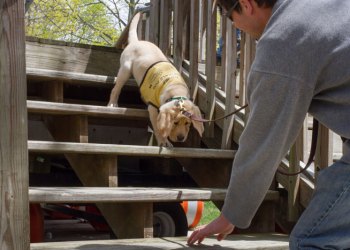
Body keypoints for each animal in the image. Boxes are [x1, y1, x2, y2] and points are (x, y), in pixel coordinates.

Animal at [108, 12, 204, 146]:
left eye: (187, 123)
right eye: (174, 122)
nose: (181, 138)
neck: (176, 90)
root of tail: (136, 41)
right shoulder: (153, 110)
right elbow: (158, 129)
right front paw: (164, 142)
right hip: (126, 68)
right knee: (116, 88)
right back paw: (112, 103)